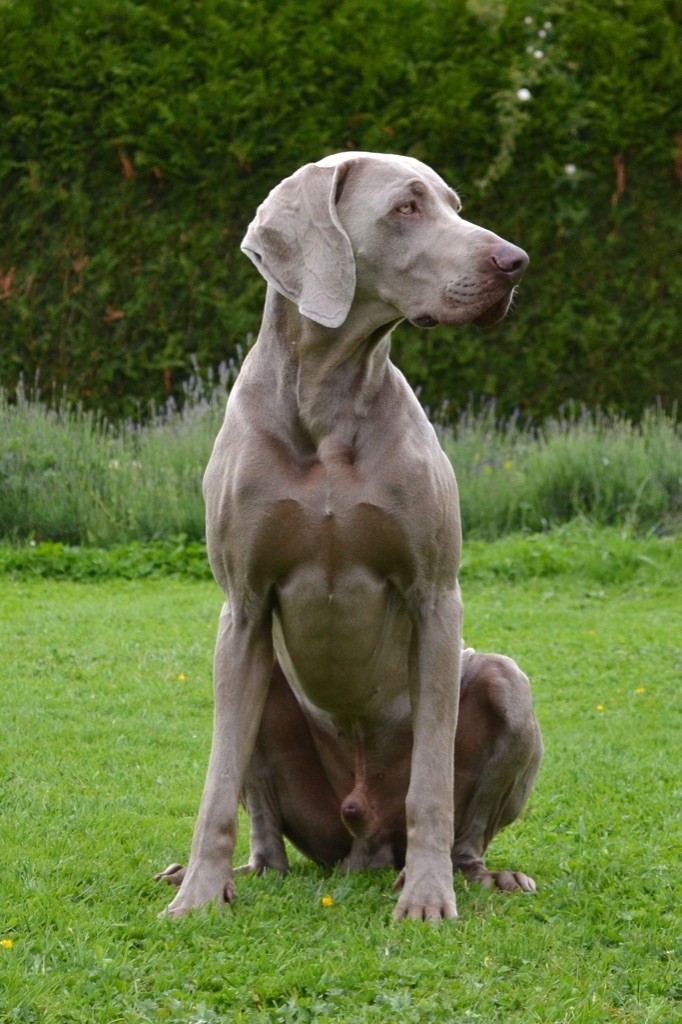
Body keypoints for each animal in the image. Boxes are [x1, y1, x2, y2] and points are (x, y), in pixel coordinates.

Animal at [155, 153, 540, 929]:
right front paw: (199, 895)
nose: (515, 262)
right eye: (406, 208)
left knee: (468, 824)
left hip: (504, 683)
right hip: (265, 687)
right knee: (267, 826)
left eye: (455, 206)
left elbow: (432, 782)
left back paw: (473, 875)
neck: (328, 397)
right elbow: (217, 783)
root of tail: (361, 843)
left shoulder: (435, 597)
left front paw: (427, 899)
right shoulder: (241, 609)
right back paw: (246, 872)